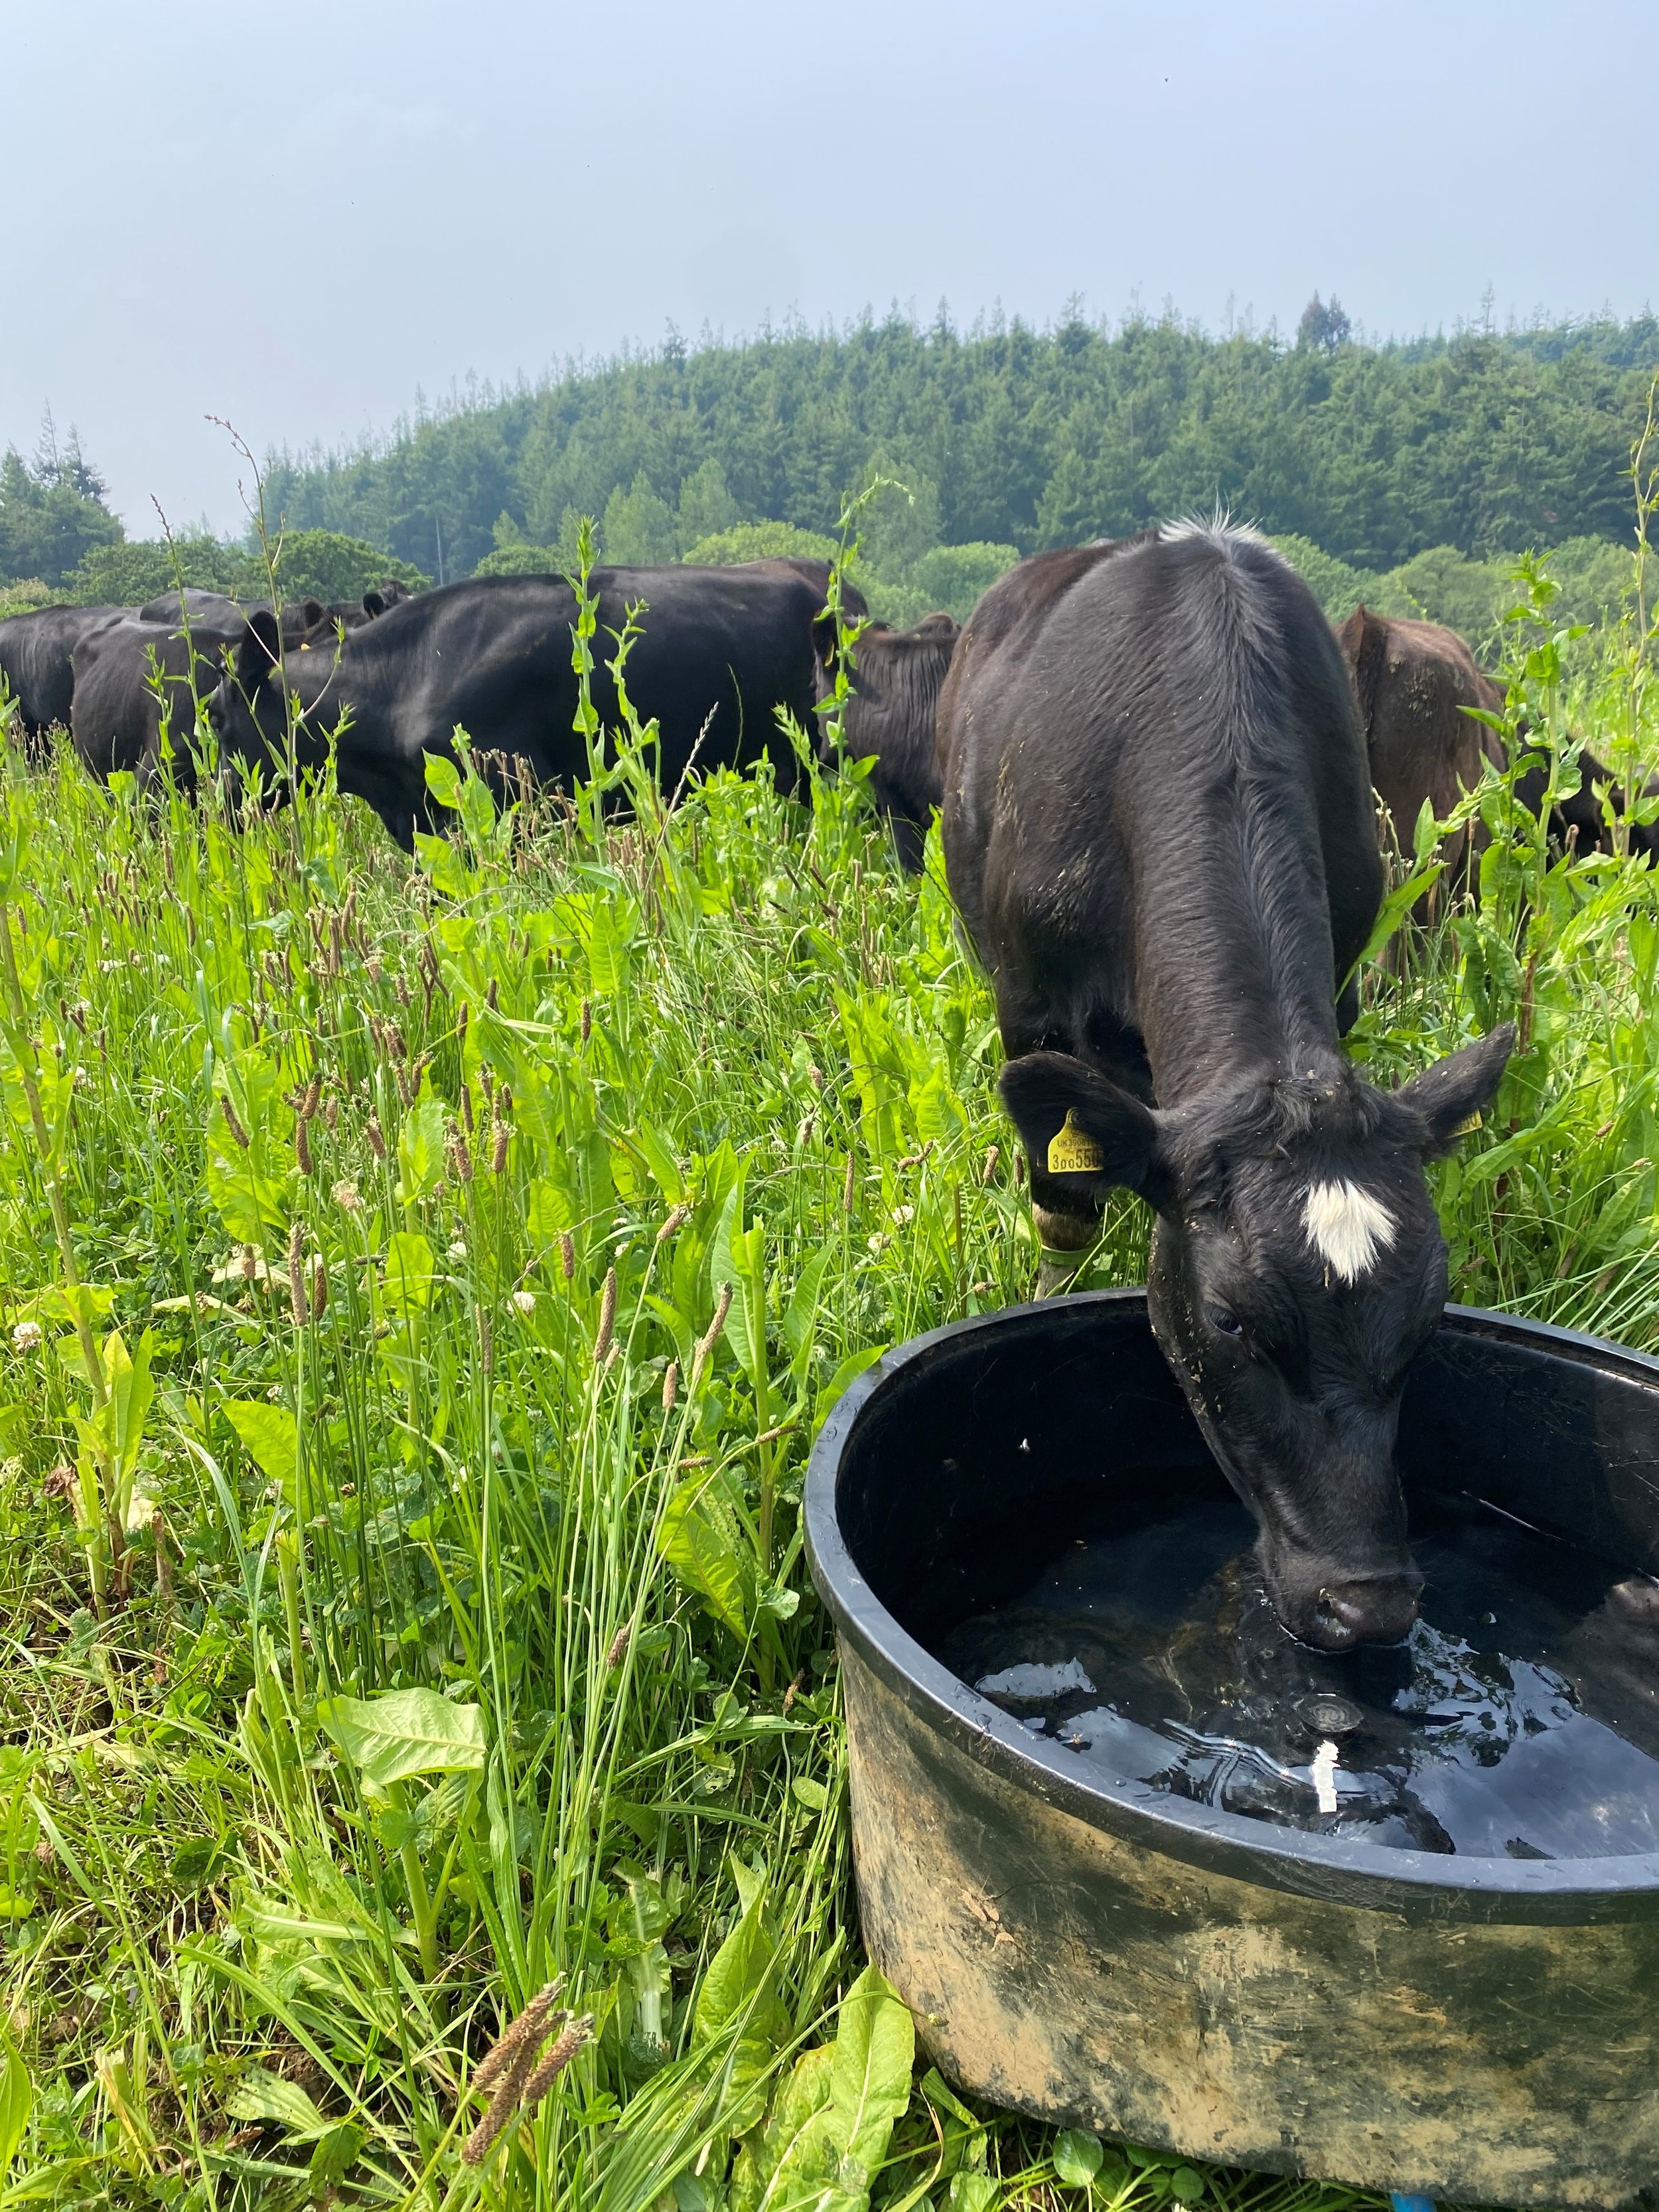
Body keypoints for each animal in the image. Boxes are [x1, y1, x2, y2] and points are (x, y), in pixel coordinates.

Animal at [939, 524, 1512, 1652]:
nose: (1366, 1604)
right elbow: (1062, 1208)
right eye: (1235, 1321)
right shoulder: (1029, 1005)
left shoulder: (1349, 966)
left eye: (1430, 1318)